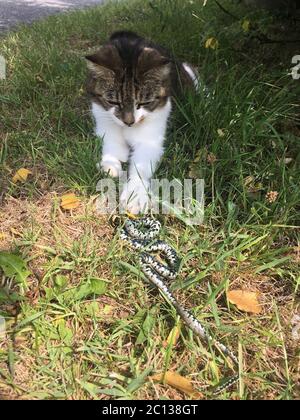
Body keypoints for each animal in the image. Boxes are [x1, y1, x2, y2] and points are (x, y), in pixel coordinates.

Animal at [85, 30, 197, 213]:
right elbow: (112, 148)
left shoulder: (151, 140)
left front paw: (135, 194)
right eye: (113, 102)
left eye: (144, 103)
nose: (129, 122)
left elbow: (140, 167)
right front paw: (110, 164)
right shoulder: (103, 121)